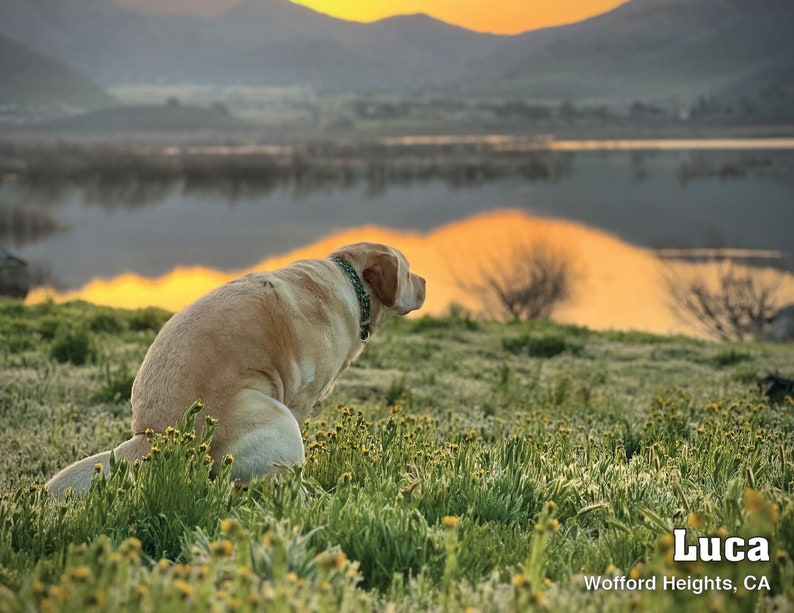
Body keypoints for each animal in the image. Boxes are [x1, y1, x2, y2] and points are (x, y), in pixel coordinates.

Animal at [46, 241, 424, 494]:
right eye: (408, 271)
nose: (426, 283)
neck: (351, 283)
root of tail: (152, 438)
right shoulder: (300, 398)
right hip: (273, 414)